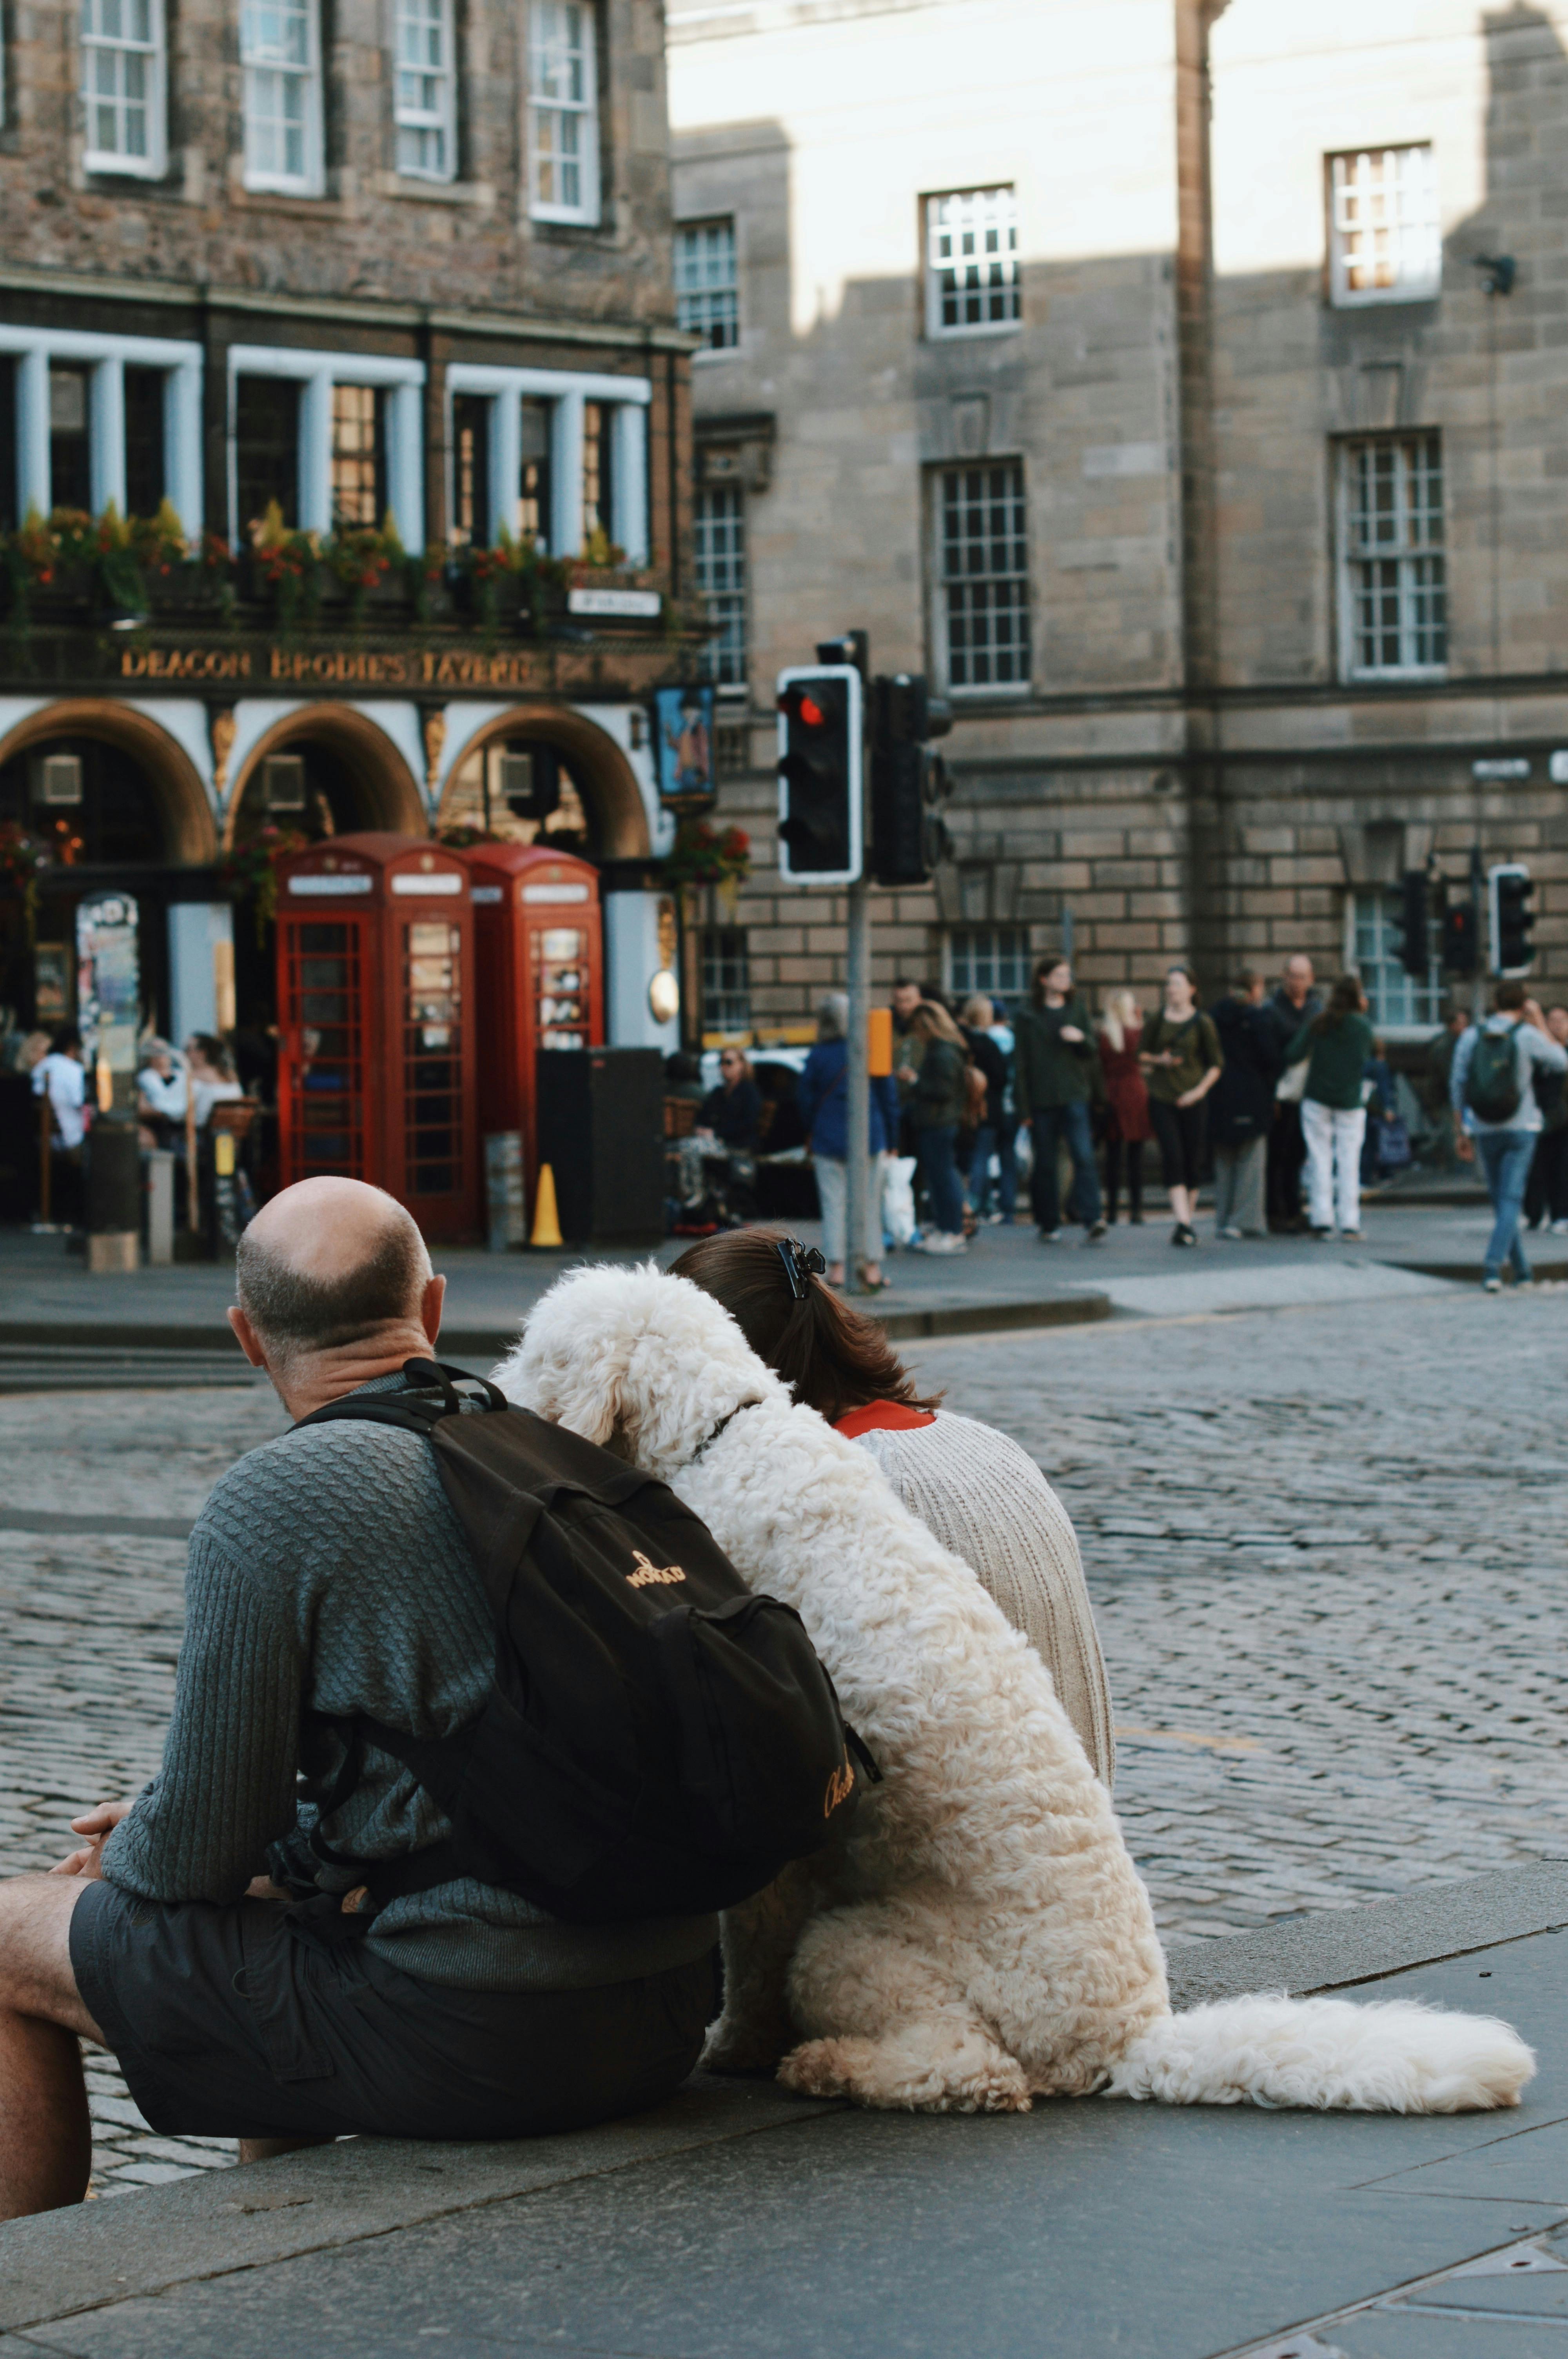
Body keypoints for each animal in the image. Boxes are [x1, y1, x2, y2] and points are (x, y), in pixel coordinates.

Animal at [495, 1274, 1537, 2123]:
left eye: (540, 1349)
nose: (491, 1387)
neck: (727, 1433)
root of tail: (1126, 2035)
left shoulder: (777, 1838)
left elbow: (748, 1954)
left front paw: (733, 2047)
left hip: (856, 1943)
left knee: (976, 2072)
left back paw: (831, 2065)